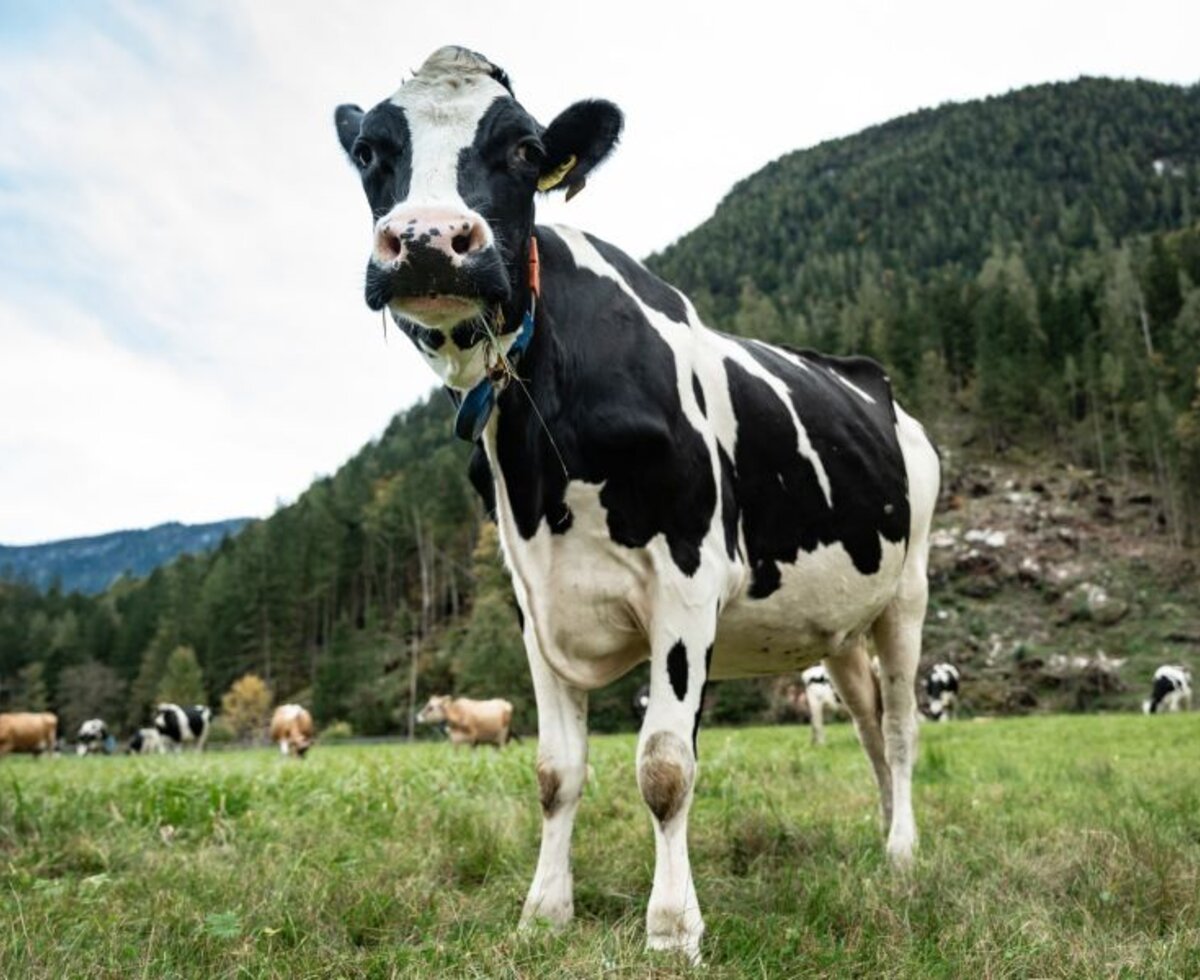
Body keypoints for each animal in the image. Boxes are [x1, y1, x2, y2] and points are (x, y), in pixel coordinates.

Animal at [334, 46, 939, 960]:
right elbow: (554, 772)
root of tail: (875, 382)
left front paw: (672, 928)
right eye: (371, 151)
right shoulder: (536, 603)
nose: (429, 240)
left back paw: (903, 852)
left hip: (907, 593)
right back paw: (880, 834)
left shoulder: (685, 585)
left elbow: (663, 765)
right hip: (835, 622)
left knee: (900, 725)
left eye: (523, 149)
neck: (542, 459)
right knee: (867, 719)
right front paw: (543, 910)